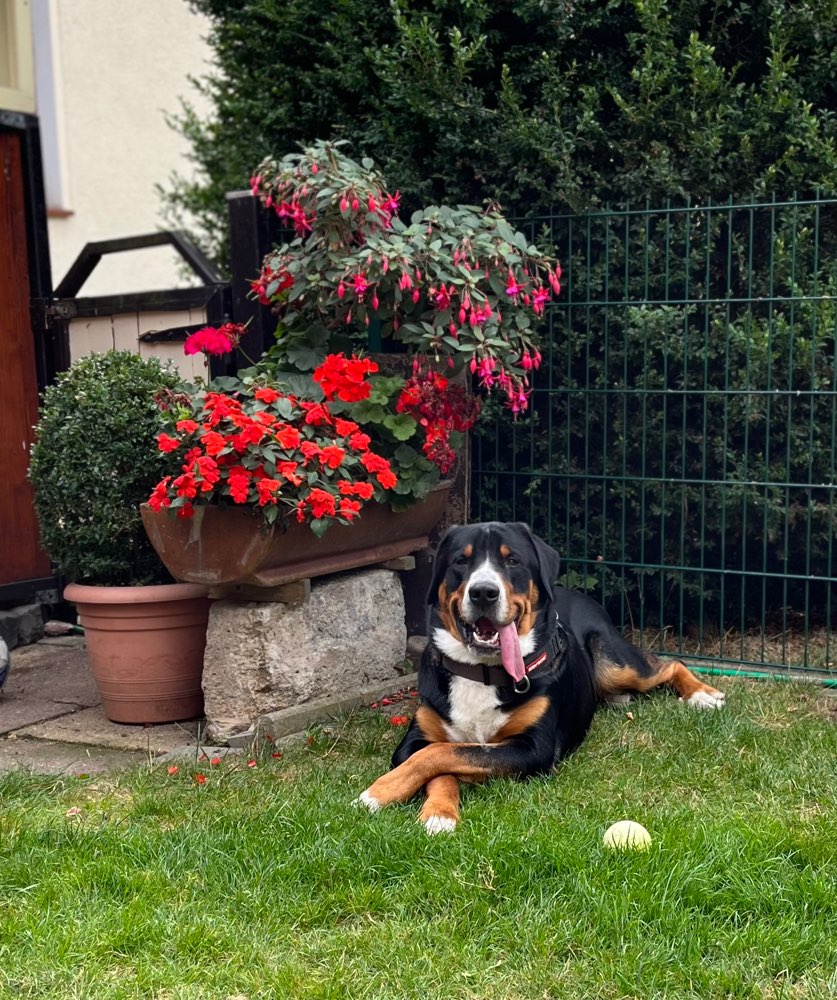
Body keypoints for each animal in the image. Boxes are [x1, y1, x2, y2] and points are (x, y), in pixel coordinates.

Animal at [356, 520, 720, 832]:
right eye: (461, 560)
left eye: (512, 560)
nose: (483, 592)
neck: (482, 672)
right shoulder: (415, 739)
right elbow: (436, 760)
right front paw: (438, 812)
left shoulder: (533, 748)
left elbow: (447, 753)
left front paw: (379, 791)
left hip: (616, 663)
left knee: (670, 664)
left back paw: (703, 694)